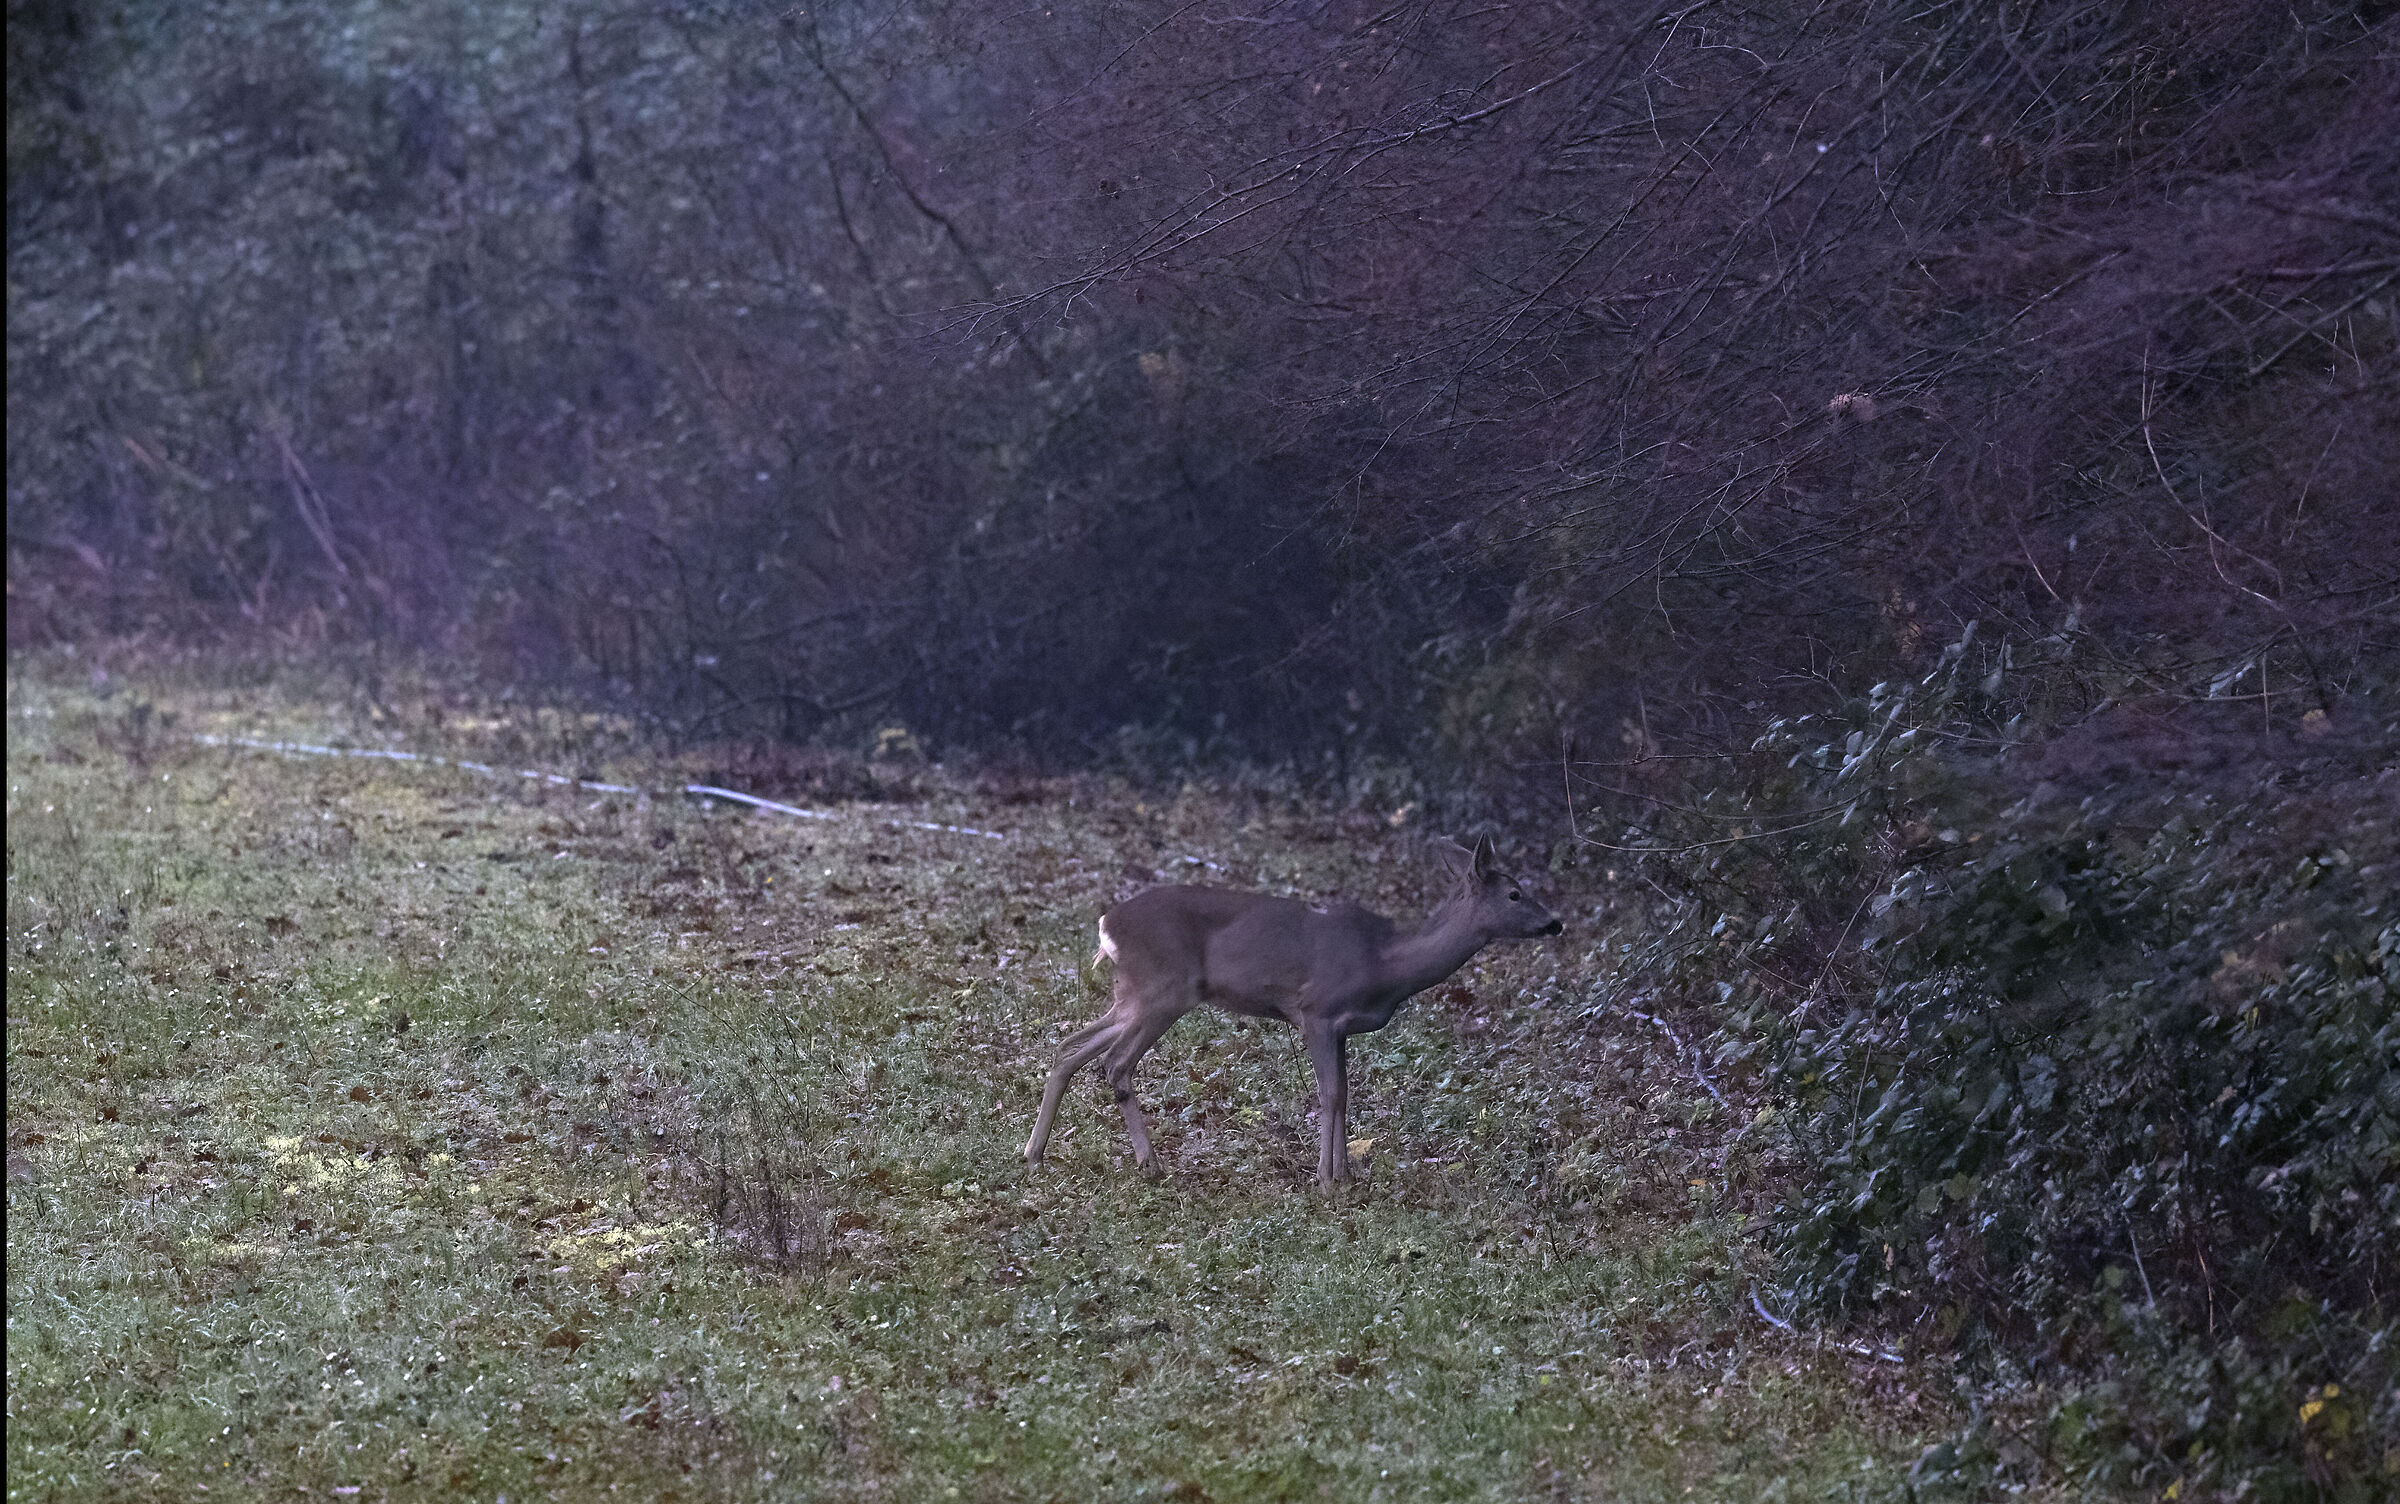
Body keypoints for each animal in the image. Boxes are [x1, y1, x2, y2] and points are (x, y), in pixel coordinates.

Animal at [1024, 837, 1562, 1190]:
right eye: (1515, 893)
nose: (1555, 922)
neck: (1386, 963)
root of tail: (1105, 925)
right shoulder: (1317, 1010)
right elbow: (1330, 1094)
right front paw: (1326, 1180)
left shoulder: (1341, 1030)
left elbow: (1344, 1094)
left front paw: (1344, 1172)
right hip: (1164, 991)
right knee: (1114, 1062)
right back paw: (1149, 1164)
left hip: (1133, 994)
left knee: (1069, 1047)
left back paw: (1035, 1152)